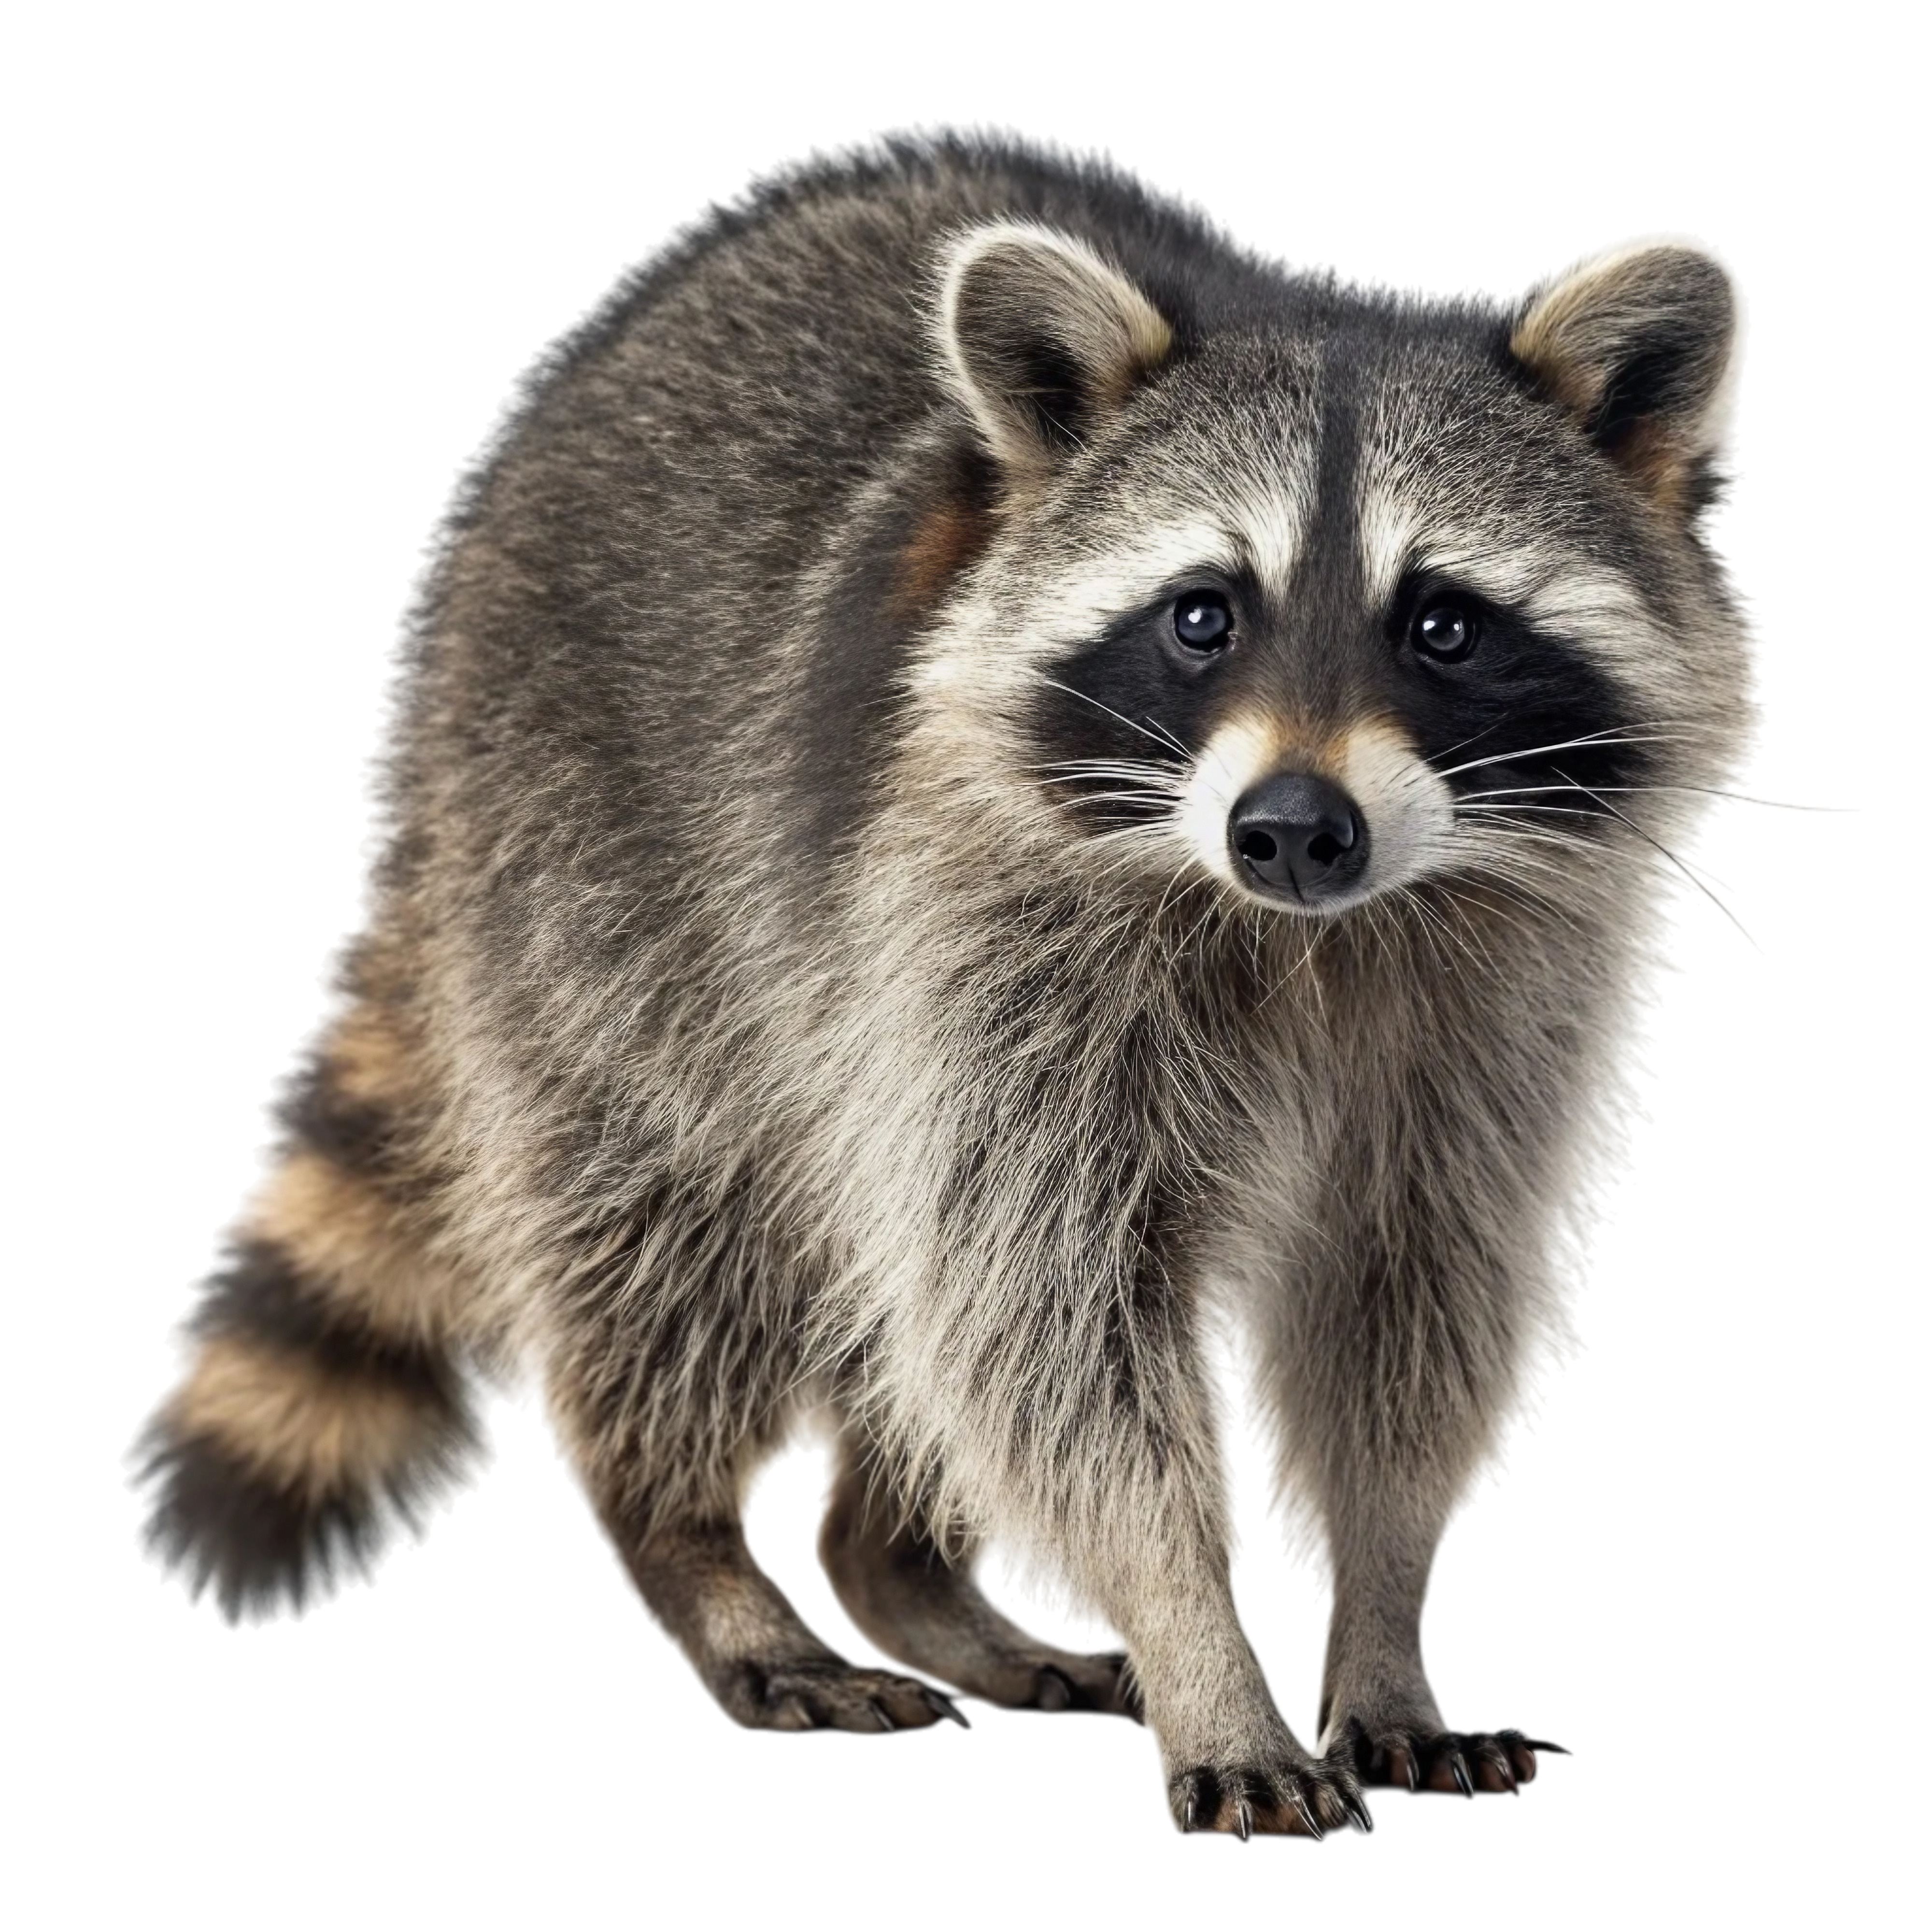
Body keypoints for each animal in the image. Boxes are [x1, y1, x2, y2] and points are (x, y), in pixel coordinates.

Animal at [139, 135, 1747, 1837]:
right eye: (1202, 613)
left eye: (1443, 623)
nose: (1295, 827)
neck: (1308, 928)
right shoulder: (981, 933)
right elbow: (1053, 1330)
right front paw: (1202, 1644)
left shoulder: (1493, 1008)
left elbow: (1406, 1301)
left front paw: (1383, 1622)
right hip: (596, 877)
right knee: (678, 1223)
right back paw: (694, 1542)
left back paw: (897, 1564)